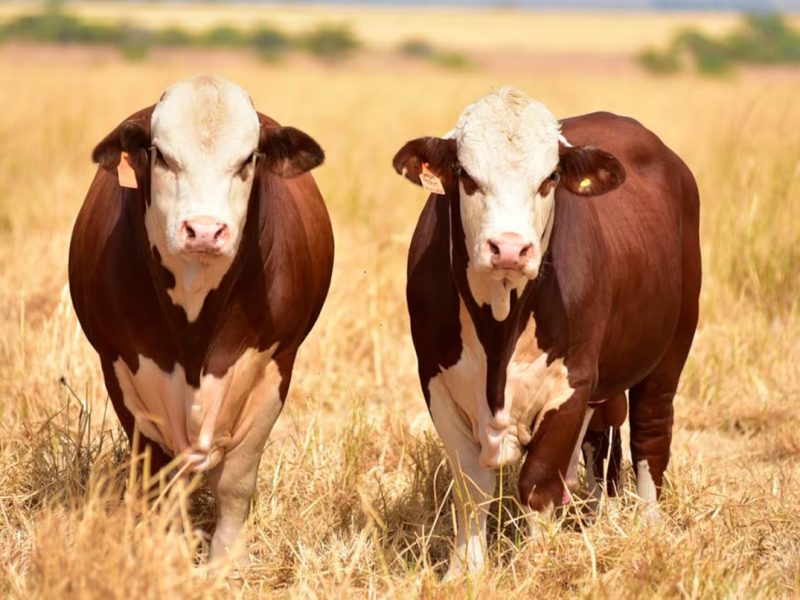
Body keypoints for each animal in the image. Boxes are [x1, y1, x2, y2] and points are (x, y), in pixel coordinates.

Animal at [68, 75, 334, 561]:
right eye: (162, 155)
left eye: (248, 159)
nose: (205, 230)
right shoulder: (122, 370)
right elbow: (161, 480)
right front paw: (168, 550)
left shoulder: (274, 367)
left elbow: (235, 480)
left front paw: (226, 559)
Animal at [392, 87, 700, 577]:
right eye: (465, 175)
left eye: (549, 178)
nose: (510, 248)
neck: (498, 328)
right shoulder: (436, 381)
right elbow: (471, 485)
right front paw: (465, 570)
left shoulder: (570, 385)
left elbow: (538, 483)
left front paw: (537, 563)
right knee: (596, 448)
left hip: (670, 352)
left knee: (650, 437)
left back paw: (650, 529)